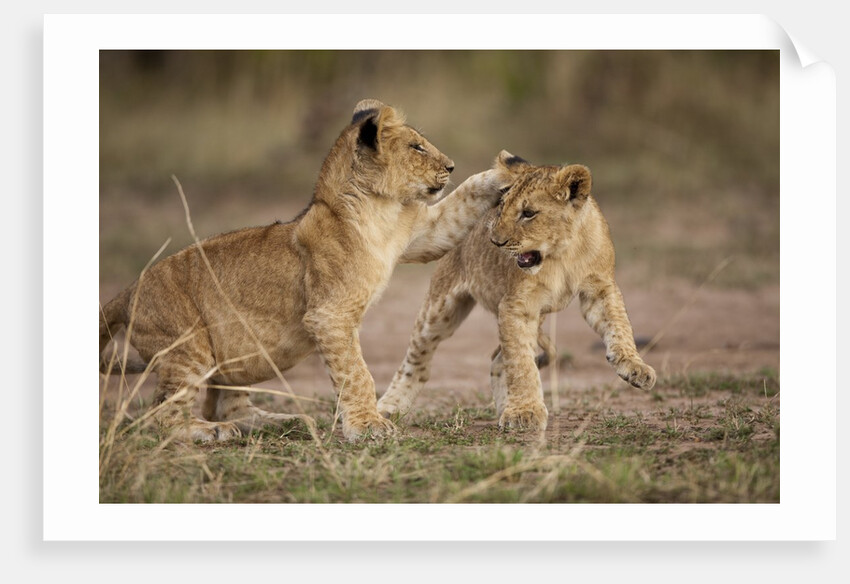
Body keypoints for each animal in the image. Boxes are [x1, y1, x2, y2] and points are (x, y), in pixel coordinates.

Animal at [99, 99, 515, 442]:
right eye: (416, 147)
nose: (450, 166)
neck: (379, 209)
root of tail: (129, 290)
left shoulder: (424, 232)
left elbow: (463, 200)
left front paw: (507, 171)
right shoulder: (330, 315)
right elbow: (355, 373)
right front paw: (368, 426)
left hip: (236, 348)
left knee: (223, 404)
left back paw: (278, 422)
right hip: (187, 345)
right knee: (161, 412)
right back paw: (208, 432)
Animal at [377, 154, 656, 431]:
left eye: (528, 213)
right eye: (502, 207)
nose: (495, 241)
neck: (561, 254)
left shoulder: (600, 289)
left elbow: (619, 326)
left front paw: (635, 367)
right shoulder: (516, 305)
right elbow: (521, 363)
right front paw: (525, 411)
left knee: (498, 358)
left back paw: (504, 409)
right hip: (440, 309)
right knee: (417, 358)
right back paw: (390, 407)